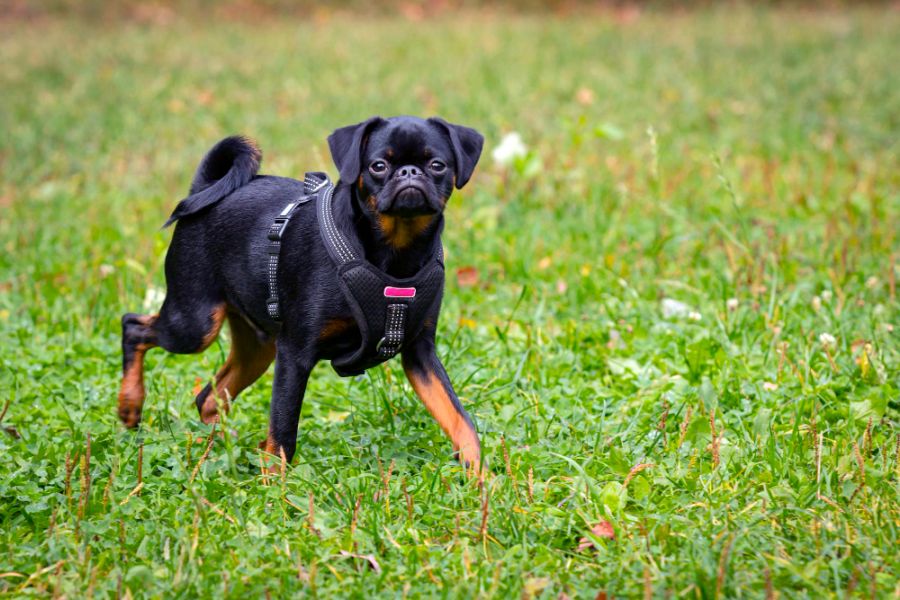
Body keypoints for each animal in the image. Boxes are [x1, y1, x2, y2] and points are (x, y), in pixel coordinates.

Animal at [119, 116, 488, 474]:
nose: (409, 172)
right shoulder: (295, 354)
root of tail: (207, 190)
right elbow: (283, 431)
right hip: (196, 324)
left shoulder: (420, 352)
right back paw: (130, 407)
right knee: (134, 325)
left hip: (259, 348)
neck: (396, 254)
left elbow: (460, 419)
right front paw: (275, 487)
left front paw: (480, 476)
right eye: (378, 166)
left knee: (208, 397)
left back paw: (219, 447)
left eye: (437, 165)